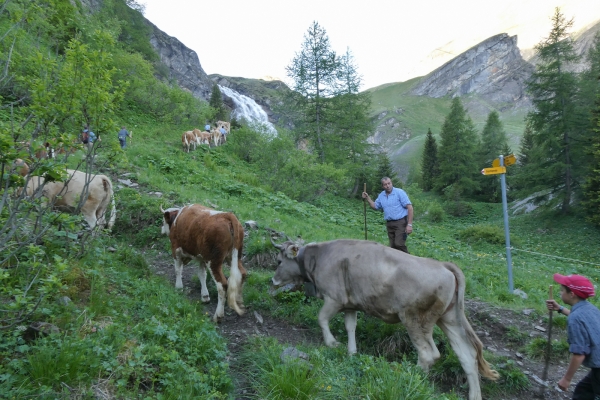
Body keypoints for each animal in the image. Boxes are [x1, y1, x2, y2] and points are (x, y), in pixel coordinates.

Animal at [270, 239, 496, 398]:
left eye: (279, 261)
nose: (273, 281)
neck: (319, 256)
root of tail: (444, 265)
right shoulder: (350, 304)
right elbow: (350, 326)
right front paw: (352, 352)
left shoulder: (334, 298)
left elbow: (321, 318)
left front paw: (331, 342)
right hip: (449, 318)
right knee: (467, 355)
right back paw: (474, 395)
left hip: (415, 318)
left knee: (428, 353)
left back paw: (408, 378)